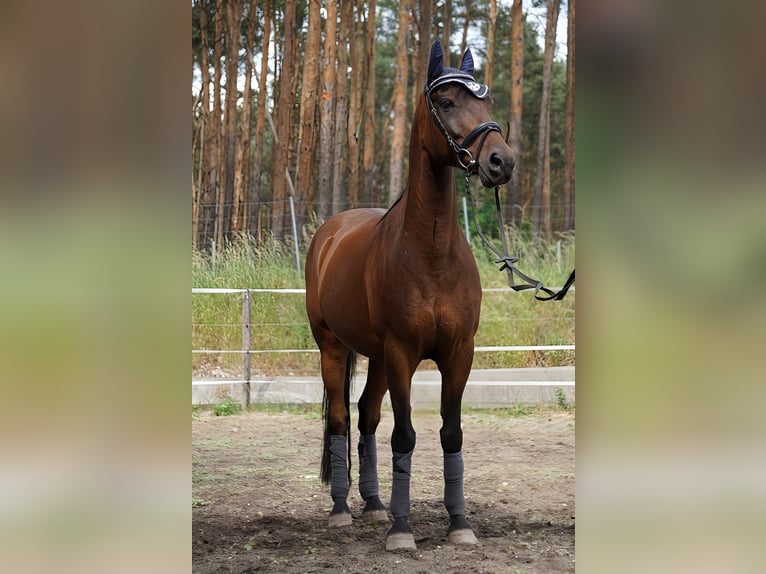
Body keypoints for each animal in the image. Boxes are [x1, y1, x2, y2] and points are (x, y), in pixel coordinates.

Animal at [306, 40, 516, 552]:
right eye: (447, 102)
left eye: (488, 102)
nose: (501, 162)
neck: (431, 254)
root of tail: (330, 232)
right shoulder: (402, 353)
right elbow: (404, 435)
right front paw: (403, 531)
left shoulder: (458, 354)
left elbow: (451, 433)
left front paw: (459, 523)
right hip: (334, 348)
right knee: (340, 418)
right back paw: (342, 510)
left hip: (378, 358)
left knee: (366, 416)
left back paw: (374, 504)